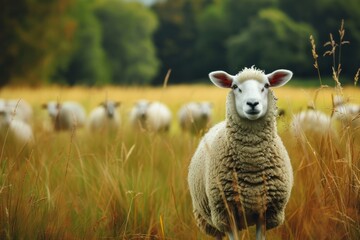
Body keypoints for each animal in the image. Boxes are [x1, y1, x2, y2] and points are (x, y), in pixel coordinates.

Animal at [187, 66, 294, 240]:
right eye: (235, 86)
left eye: (266, 85)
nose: (252, 103)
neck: (252, 160)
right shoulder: (226, 214)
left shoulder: (265, 213)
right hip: (209, 219)